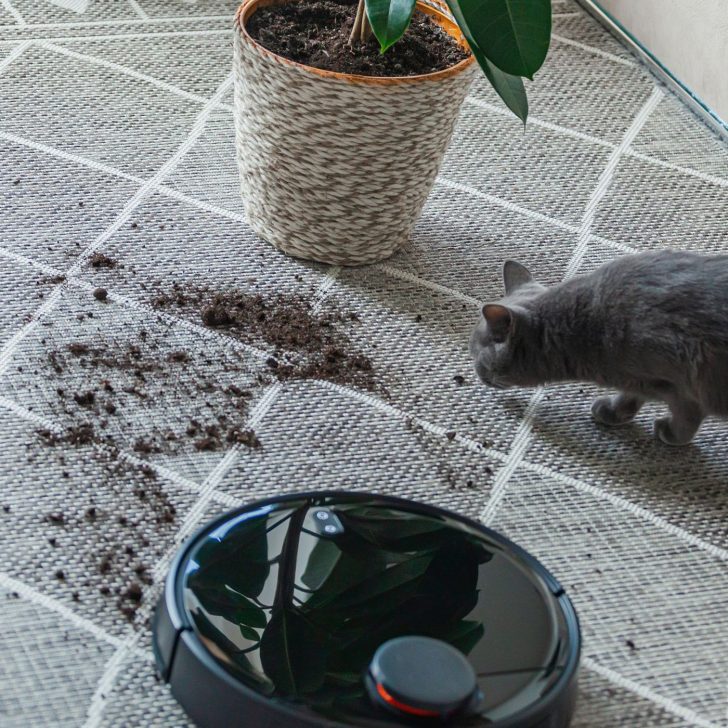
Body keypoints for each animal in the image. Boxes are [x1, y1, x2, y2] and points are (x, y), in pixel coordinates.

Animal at [470, 249, 728, 444]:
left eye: (475, 352)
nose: (476, 372)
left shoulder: (681, 386)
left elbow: (687, 415)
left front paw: (671, 434)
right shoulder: (639, 380)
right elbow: (631, 395)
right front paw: (612, 412)